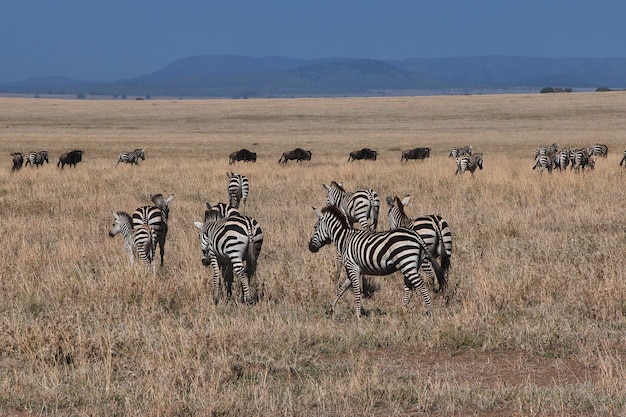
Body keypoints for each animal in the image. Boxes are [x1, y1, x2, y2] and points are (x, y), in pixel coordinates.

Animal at [308, 206, 444, 318]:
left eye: (315, 227)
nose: (310, 247)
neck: (344, 239)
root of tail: (416, 236)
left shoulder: (352, 268)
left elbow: (356, 292)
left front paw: (358, 316)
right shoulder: (352, 270)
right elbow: (340, 290)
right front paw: (330, 309)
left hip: (407, 263)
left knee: (421, 286)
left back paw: (429, 313)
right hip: (410, 265)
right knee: (408, 289)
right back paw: (403, 311)